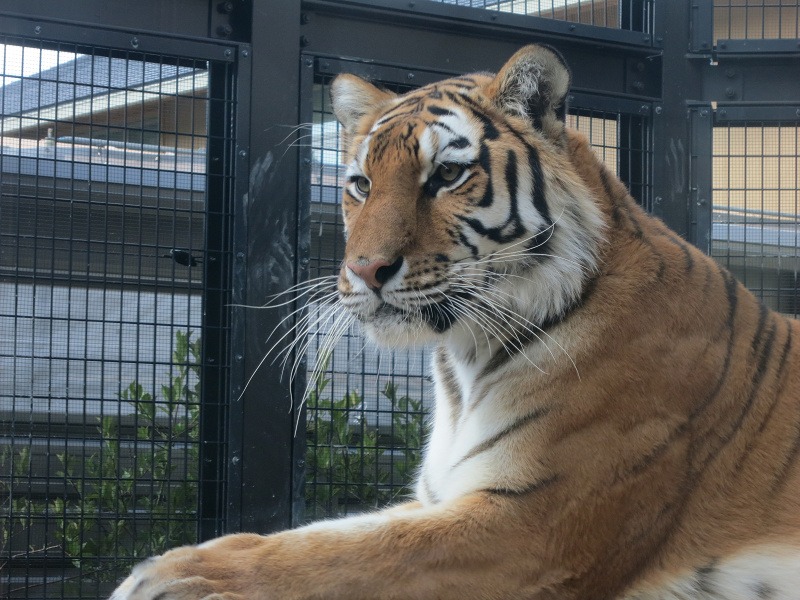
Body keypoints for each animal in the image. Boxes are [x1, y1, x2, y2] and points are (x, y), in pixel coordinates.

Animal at [111, 43, 800, 600]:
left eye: (446, 174)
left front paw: (169, 577)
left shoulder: (531, 524)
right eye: (360, 184)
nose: (364, 269)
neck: (466, 362)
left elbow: (354, 555)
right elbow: (320, 534)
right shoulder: (441, 495)